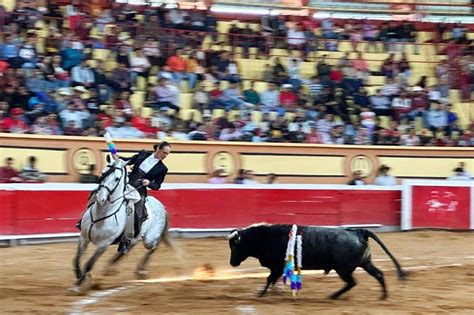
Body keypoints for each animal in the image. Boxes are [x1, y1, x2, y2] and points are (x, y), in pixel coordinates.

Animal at [228, 225, 406, 298]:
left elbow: (269, 279)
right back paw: (383, 296)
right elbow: (272, 280)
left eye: (235, 247)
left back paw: (333, 295)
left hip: (343, 269)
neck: (263, 238)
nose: (232, 263)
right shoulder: (278, 268)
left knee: (351, 282)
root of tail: (359, 231)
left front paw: (260, 294)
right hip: (365, 263)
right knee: (379, 275)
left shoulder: (277, 267)